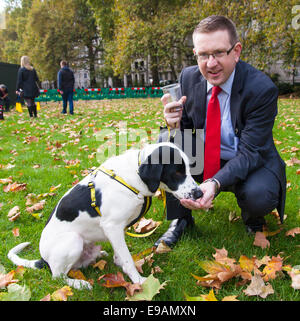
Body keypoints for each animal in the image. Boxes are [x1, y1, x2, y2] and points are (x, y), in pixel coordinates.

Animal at [8, 141, 203, 288]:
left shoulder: (118, 229)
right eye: (177, 171)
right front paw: (138, 281)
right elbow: (127, 259)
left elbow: (121, 255)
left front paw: (119, 263)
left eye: (189, 168)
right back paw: (79, 283)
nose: (199, 193)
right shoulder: (113, 227)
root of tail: (43, 259)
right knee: (57, 276)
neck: (134, 176)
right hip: (73, 240)